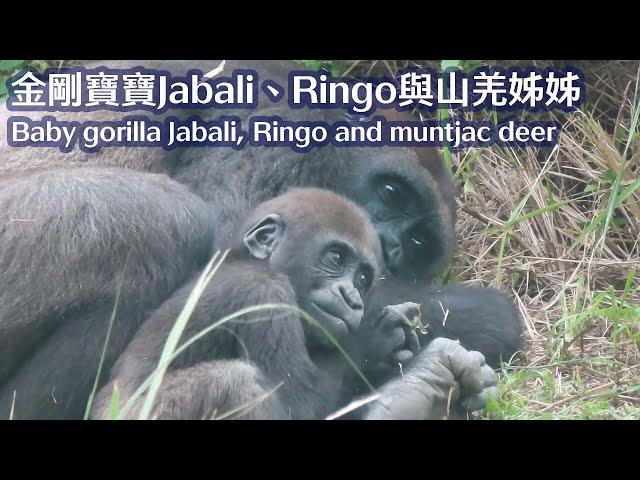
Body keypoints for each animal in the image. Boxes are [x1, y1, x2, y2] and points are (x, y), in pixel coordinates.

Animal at [92, 188, 498, 420]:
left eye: (363, 279)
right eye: (335, 257)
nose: (352, 298)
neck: (250, 260)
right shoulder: (263, 295)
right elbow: (298, 405)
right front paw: (377, 341)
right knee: (238, 382)